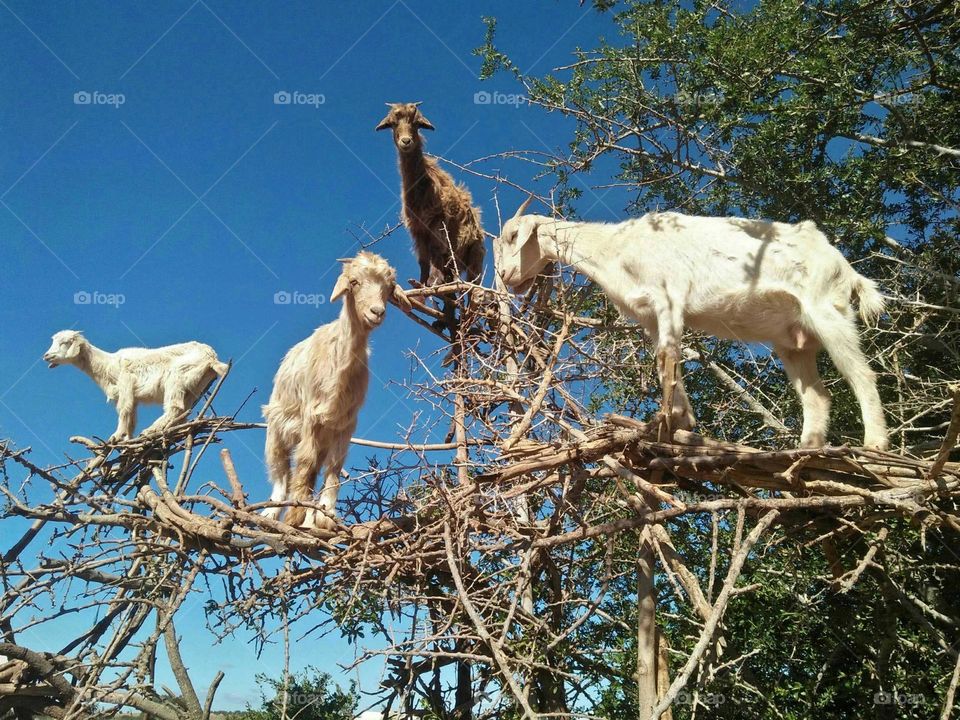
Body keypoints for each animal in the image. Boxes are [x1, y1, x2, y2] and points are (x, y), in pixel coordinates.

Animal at [44, 330, 230, 442]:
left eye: (65, 342)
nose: (46, 356)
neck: (108, 365)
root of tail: (211, 357)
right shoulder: (133, 395)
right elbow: (132, 416)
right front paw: (127, 438)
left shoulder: (126, 382)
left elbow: (124, 409)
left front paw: (116, 436)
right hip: (195, 387)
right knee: (183, 411)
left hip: (177, 376)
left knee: (175, 407)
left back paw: (150, 430)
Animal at [260, 252, 410, 528]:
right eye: (354, 282)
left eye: (388, 287)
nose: (377, 312)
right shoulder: (311, 416)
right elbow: (305, 462)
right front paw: (295, 514)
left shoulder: (345, 423)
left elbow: (334, 466)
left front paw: (324, 514)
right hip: (276, 425)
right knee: (281, 469)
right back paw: (272, 511)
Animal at [374, 101, 484, 332]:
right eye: (392, 123)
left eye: (416, 123)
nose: (406, 141)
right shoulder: (418, 232)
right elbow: (423, 263)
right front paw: (420, 290)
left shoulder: (437, 225)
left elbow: (433, 261)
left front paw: (429, 286)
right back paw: (444, 320)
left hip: (474, 255)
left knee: (473, 287)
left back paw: (467, 318)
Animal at [498, 200, 888, 450]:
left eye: (514, 236)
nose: (504, 275)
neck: (618, 248)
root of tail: (843, 265)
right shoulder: (651, 317)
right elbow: (663, 362)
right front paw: (681, 421)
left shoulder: (669, 298)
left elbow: (667, 357)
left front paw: (667, 423)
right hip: (792, 340)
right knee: (817, 394)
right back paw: (808, 447)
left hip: (828, 310)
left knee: (862, 375)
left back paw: (876, 444)